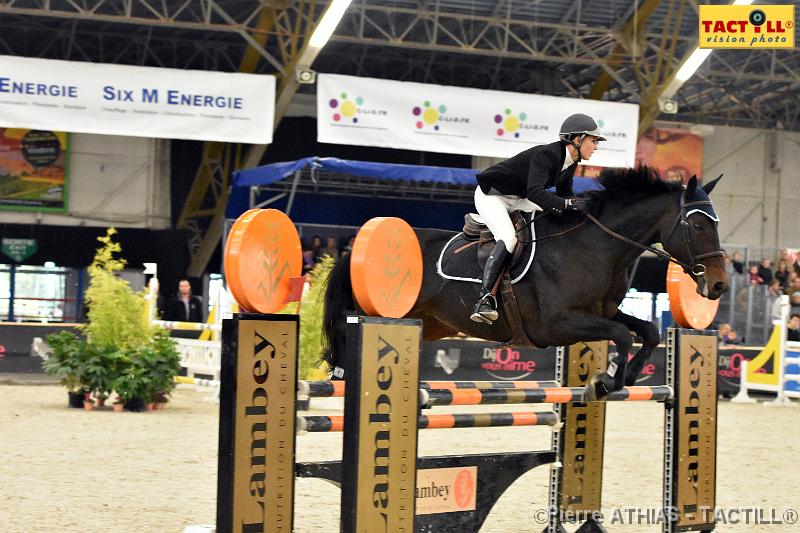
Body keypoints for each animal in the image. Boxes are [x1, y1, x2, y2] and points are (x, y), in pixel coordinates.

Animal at [322, 167, 728, 400]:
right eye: (697, 224)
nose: (719, 286)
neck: (595, 244)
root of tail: (356, 246)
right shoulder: (557, 324)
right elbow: (622, 335)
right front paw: (606, 381)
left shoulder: (603, 311)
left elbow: (648, 332)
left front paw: (621, 376)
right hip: (375, 310)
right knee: (345, 329)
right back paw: (341, 375)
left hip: (428, 322)